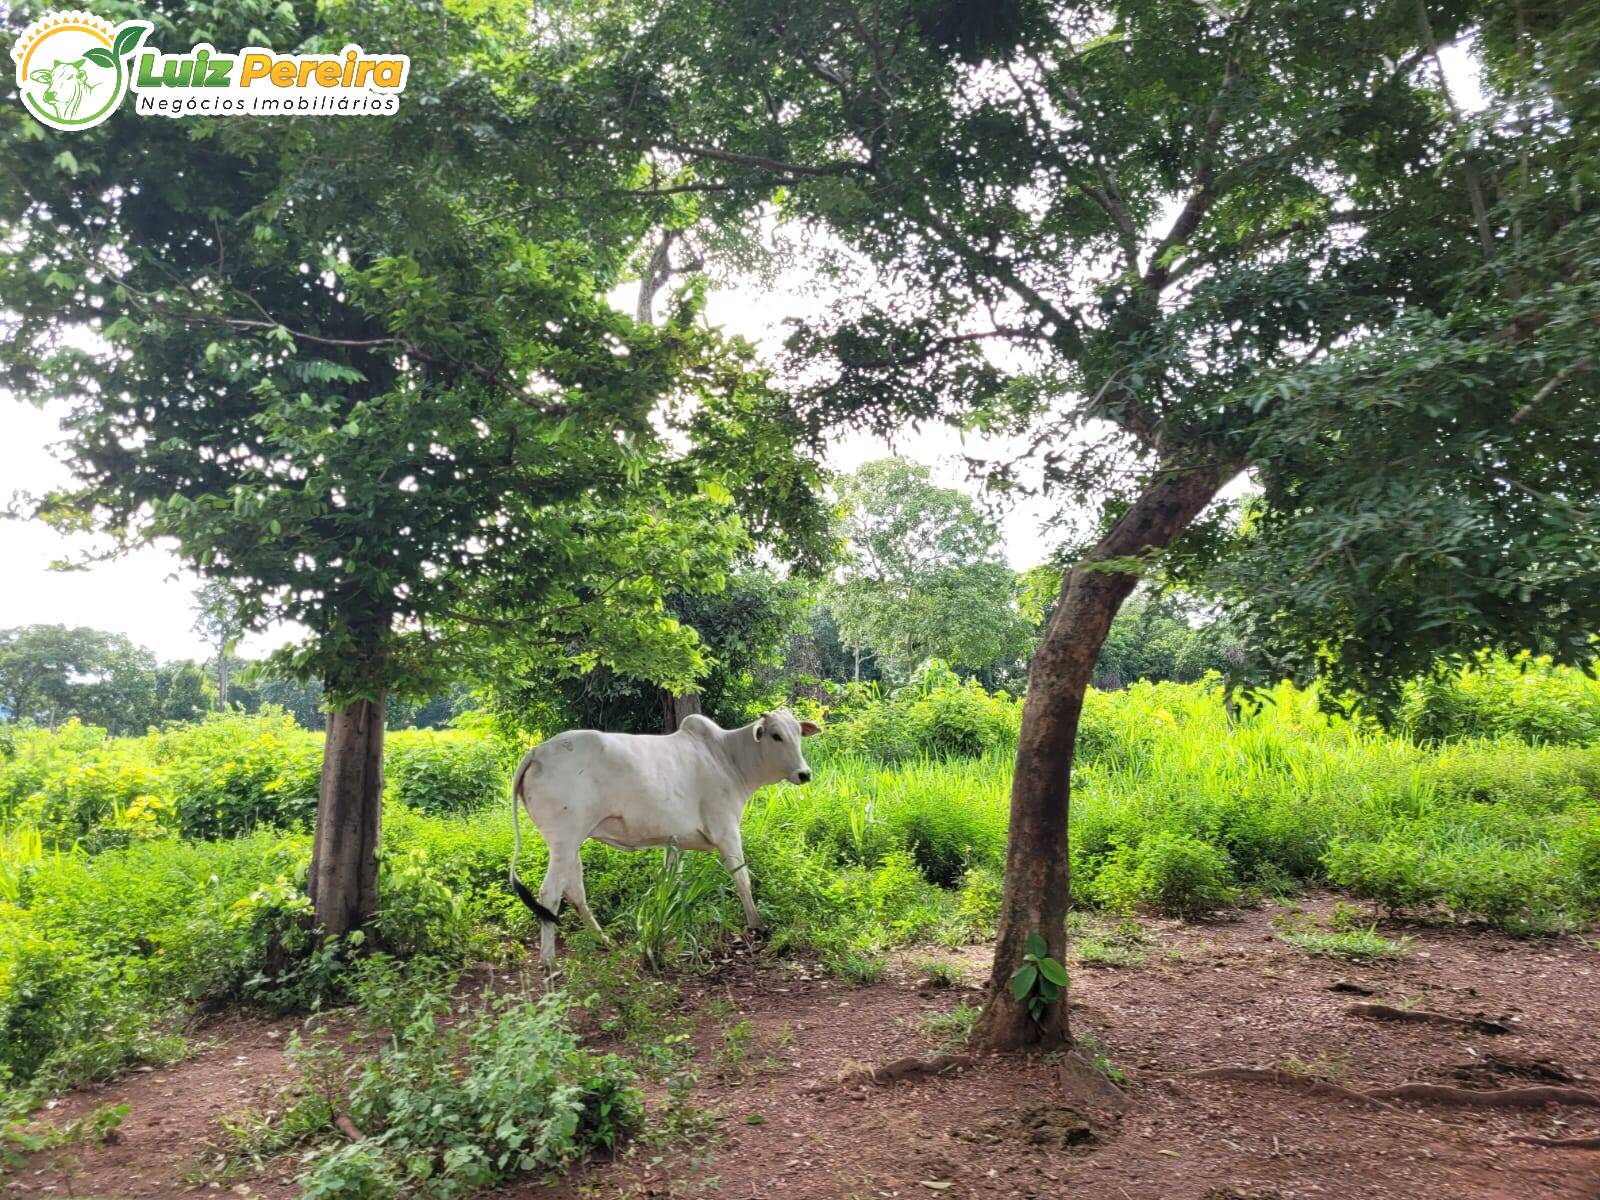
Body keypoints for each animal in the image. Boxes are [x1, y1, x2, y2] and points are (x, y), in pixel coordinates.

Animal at [505, 710, 819, 972]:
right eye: (776, 735)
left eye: (797, 733)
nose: (804, 774)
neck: (728, 758)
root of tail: (536, 751)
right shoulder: (727, 831)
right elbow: (742, 880)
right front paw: (757, 925)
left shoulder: (673, 842)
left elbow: (672, 887)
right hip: (563, 842)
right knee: (550, 893)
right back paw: (549, 960)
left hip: (571, 845)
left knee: (575, 891)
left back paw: (604, 939)